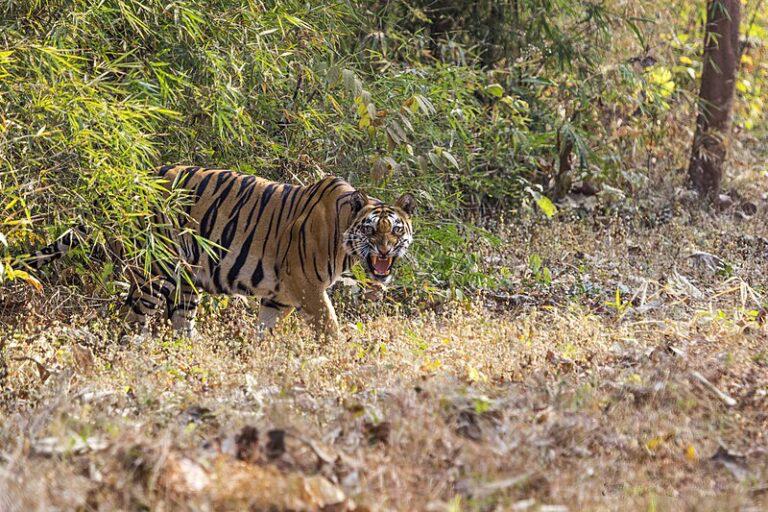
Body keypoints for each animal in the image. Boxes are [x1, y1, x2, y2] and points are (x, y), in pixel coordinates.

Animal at [25, 165, 414, 340]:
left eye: (396, 230)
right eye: (370, 229)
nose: (385, 249)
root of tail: (140, 177)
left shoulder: (280, 297)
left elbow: (264, 330)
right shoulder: (309, 290)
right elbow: (330, 329)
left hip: (185, 280)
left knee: (179, 320)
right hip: (156, 271)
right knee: (132, 318)